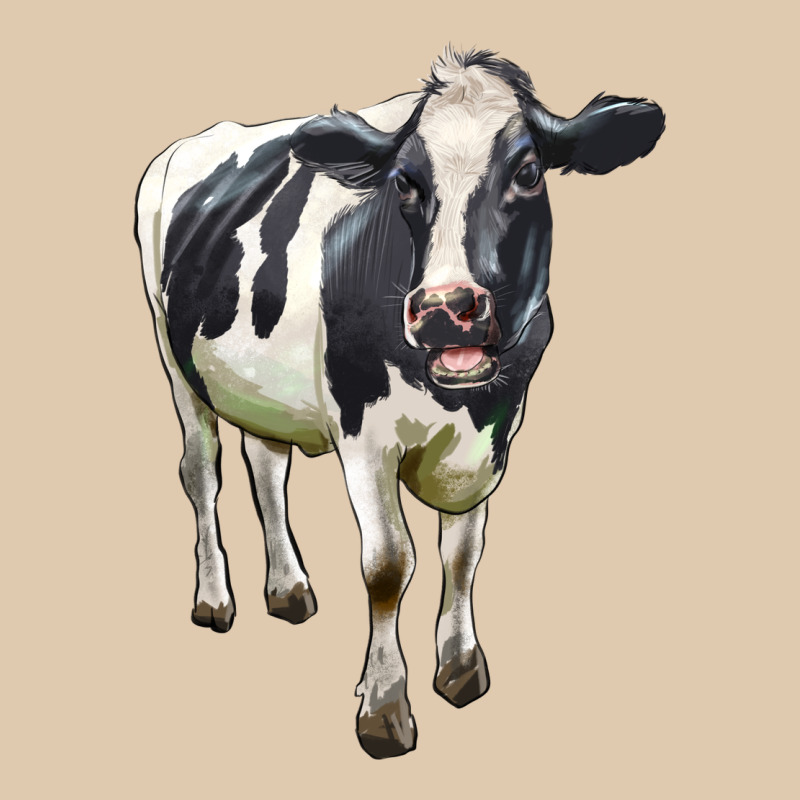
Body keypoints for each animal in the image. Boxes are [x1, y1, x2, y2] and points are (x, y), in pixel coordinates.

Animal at [135, 47, 664, 759]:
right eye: (406, 182)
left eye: (527, 172)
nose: (445, 308)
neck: (460, 403)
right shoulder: (363, 433)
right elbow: (389, 564)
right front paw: (384, 707)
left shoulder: (494, 438)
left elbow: (463, 552)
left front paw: (461, 667)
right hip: (175, 363)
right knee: (201, 474)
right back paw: (215, 598)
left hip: (261, 387)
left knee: (267, 468)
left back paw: (288, 588)